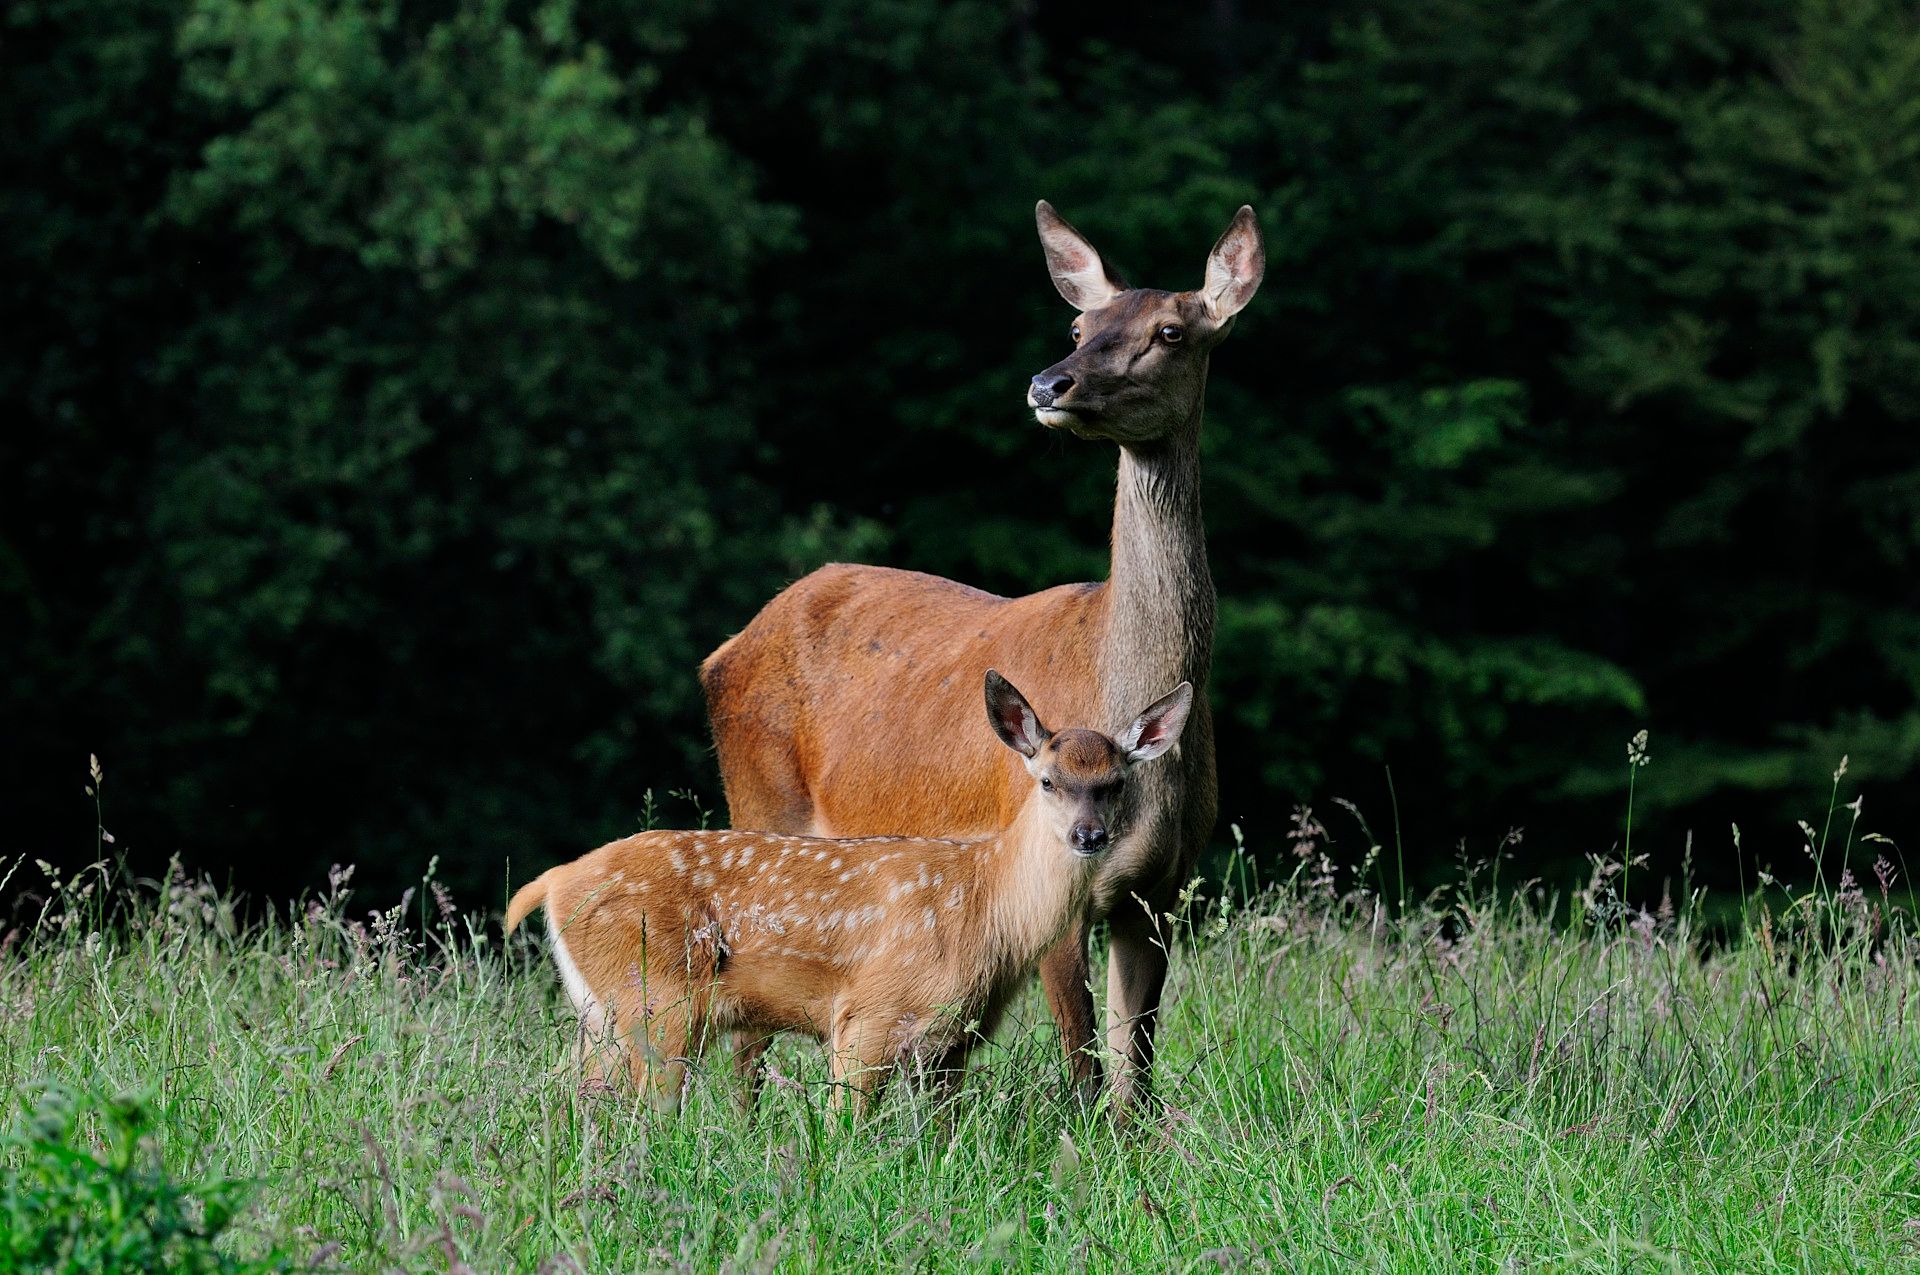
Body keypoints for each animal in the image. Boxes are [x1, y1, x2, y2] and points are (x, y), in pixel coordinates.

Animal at [698, 199, 1267, 1106]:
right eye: (1079, 323)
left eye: (1172, 331)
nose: (1049, 383)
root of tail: (728, 645)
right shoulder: (1047, 875)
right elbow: (1083, 1063)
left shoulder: (1161, 890)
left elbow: (1136, 1071)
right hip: (759, 800)